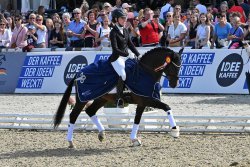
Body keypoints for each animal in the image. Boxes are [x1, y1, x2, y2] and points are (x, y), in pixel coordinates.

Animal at [53, 46, 183, 147]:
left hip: (101, 98)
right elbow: (167, 107)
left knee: (90, 111)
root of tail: (78, 74)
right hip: (83, 99)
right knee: (73, 116)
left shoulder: (142, 102)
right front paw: (175, 131)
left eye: (180, 66)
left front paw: (134, 140)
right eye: (173, 66)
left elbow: (137, 120)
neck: (145, 72)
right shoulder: (148, 100)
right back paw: (71, 142)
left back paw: (102, 134)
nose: (174, 84)